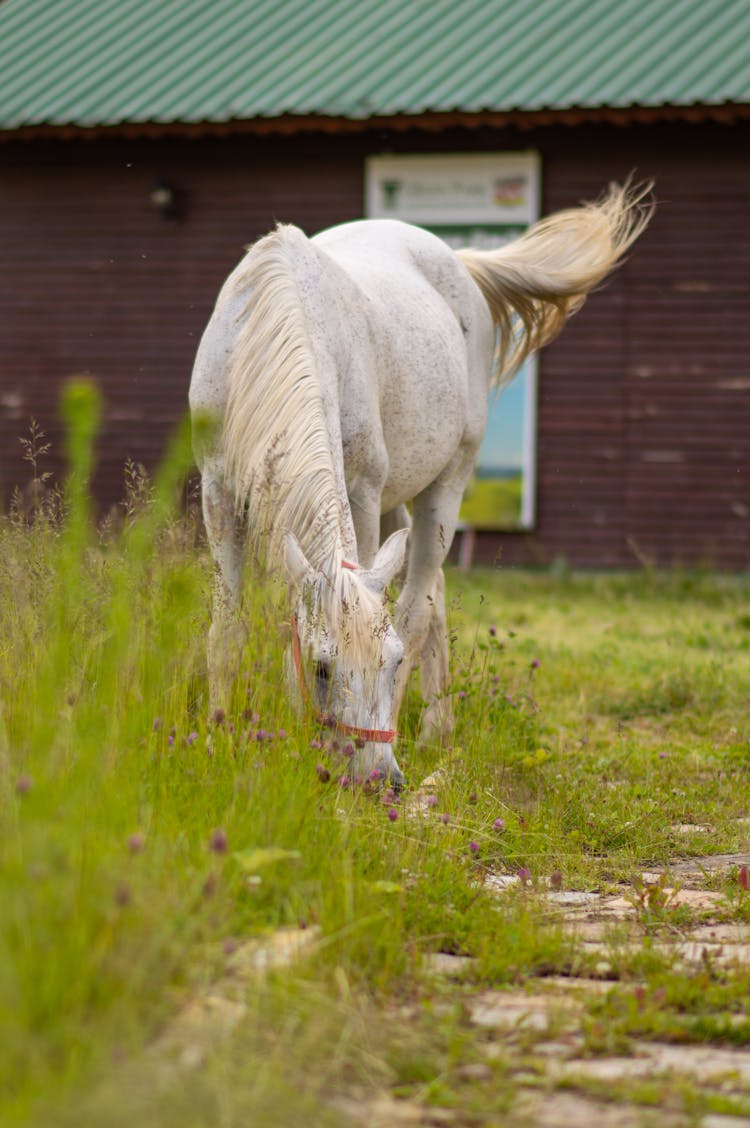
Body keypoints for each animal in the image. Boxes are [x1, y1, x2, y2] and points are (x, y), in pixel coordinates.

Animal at [191, 182, 649, 785]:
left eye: (389, 663)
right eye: (321, 667)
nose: (379, 778)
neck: (268, 328)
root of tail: (459, 261)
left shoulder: (360, 493)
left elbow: (389, 609)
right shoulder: (218, 494)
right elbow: (228, 629)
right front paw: (216, 743)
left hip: (444, 488)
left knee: (417, 605)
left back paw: (433, 731)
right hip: (396, 502)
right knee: (434, 591)